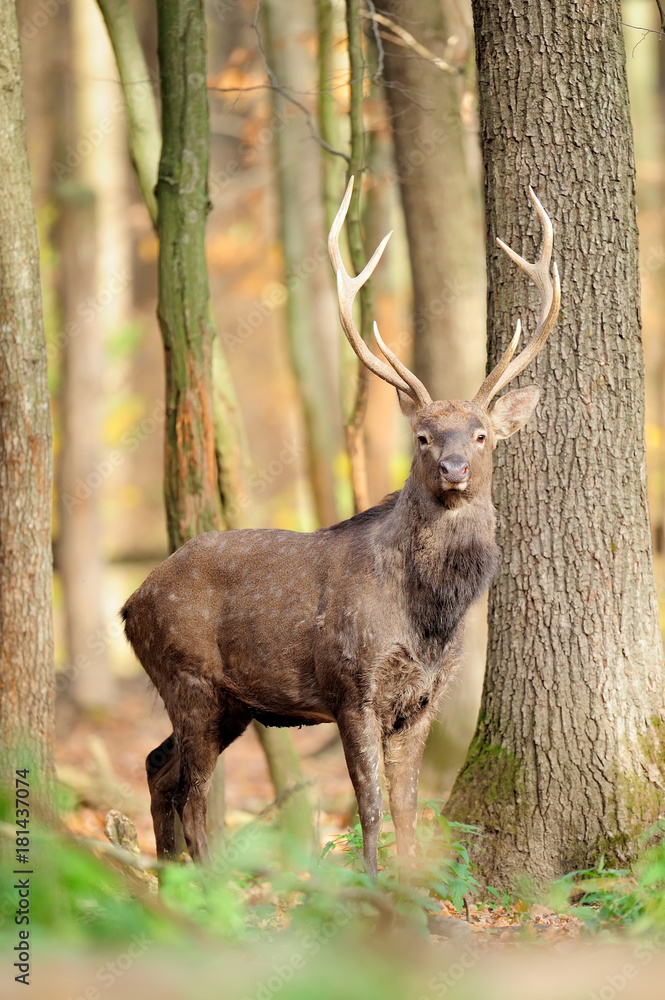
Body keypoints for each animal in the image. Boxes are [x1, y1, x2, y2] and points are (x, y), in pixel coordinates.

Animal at [122, 179, 560, 877]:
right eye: (423, 435)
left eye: (483, 435)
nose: (455, 469)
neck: (429, 617)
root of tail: (129, 603)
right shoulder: (351, 686)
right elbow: (370, 806)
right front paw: (373, 888)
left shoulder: (425, 699)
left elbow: (408, 807)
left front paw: (413, 887)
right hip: (187, 677)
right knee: (190, 790)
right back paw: (211, 886)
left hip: (229, 703)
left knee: (157, 767)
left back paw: (171, 881)